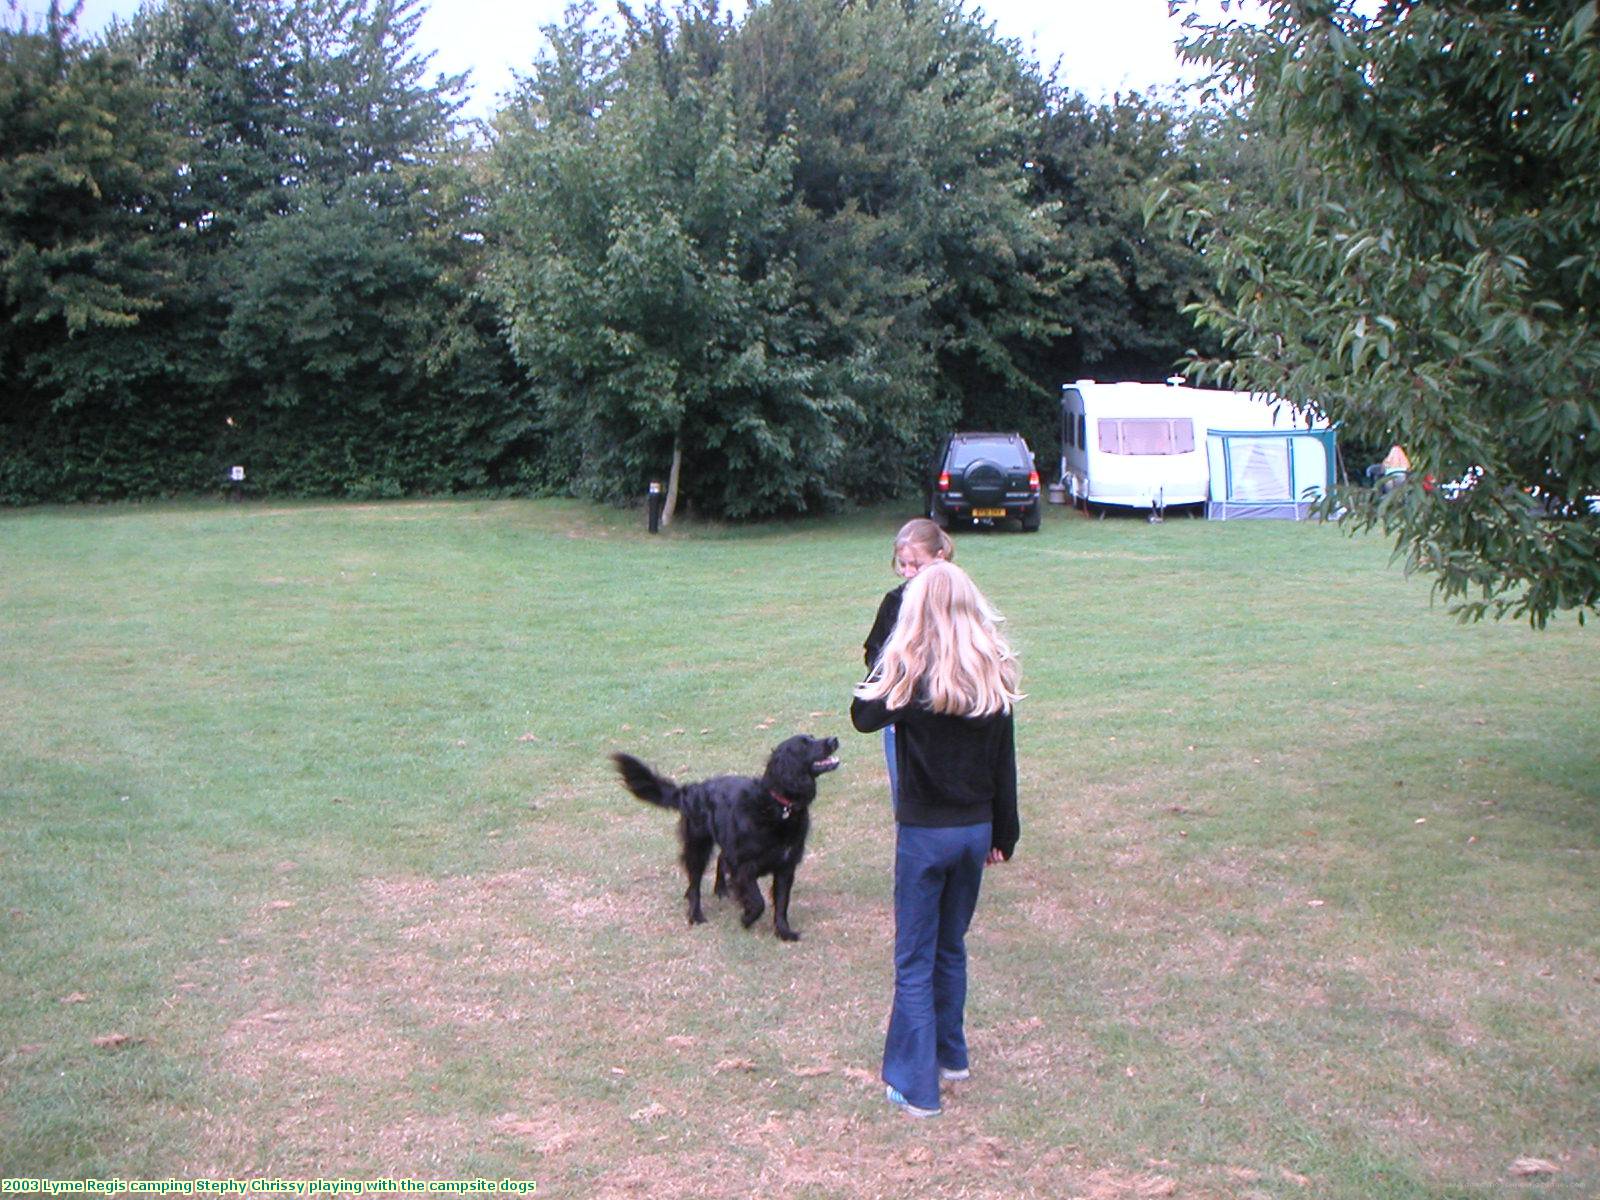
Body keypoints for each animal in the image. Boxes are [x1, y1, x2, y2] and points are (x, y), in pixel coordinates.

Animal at [608, 739, 844, 947]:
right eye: (804, 744)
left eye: (812, 737)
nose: (833, 739)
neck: (779, 806)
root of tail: (692, 789)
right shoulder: (745, 866)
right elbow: (758, 902)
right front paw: (747, 919)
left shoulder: (785, 866)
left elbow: (781, 904)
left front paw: (784, 933)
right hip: (698, 847)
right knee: (695, 881)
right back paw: (696, 914)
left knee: (721, 859)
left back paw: (721, 889)